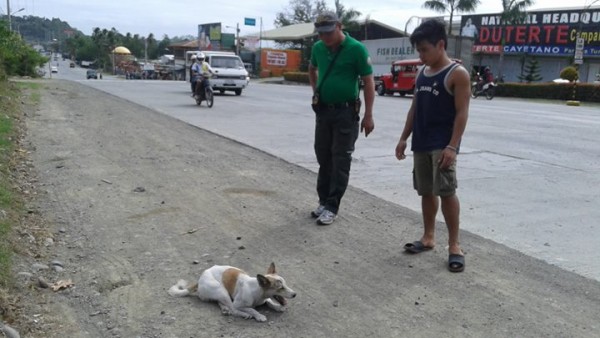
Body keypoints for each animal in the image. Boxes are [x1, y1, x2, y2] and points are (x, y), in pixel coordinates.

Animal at [168, 262, 296, 322]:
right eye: (280, 288)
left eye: (285, 284)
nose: (295, 294)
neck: (258, 293)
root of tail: (199, 280)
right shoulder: (238, 304)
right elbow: (251, 309)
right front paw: (258, 315)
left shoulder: (265, 299)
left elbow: (269, 302)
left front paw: (277, 307)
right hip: (221, 290)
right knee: (233, 309)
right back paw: (243, 314)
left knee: (221, 303)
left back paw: (225, 309)